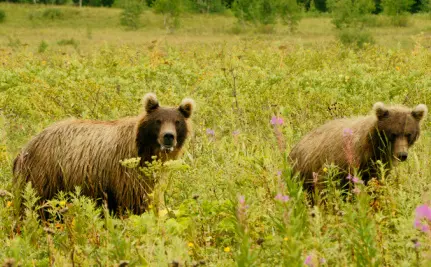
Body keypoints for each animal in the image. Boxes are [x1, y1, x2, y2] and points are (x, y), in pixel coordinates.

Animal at [13, 93, 196, 215]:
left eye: (177, 121)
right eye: (158, 121)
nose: (168, 137)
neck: (145, 150)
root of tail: (27, 145)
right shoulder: (126, 172)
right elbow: (134, 202)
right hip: (46, 173)